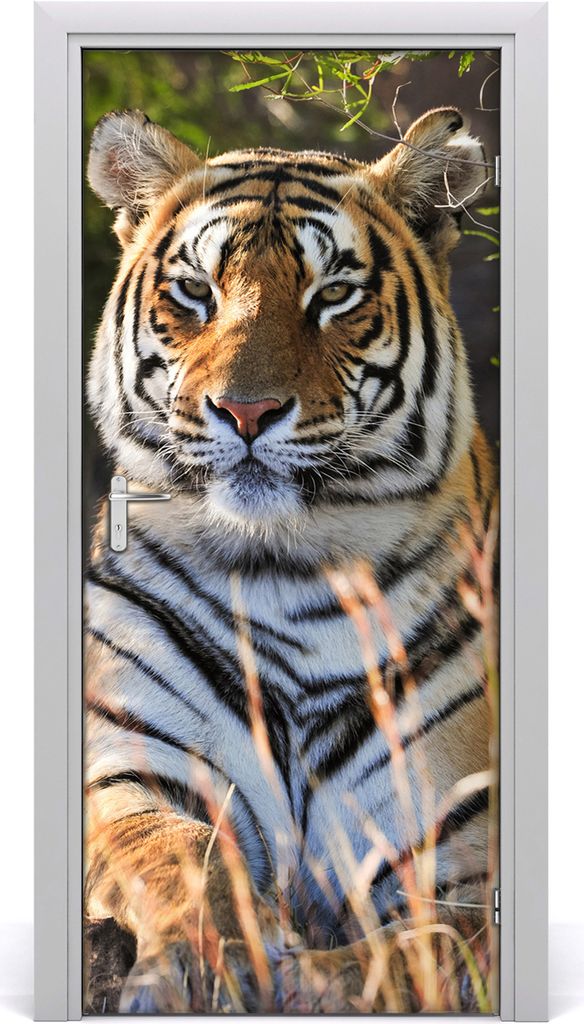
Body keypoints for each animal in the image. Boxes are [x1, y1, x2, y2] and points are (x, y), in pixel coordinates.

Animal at [83, 106, 498, 1015]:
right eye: (195, 292)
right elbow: (177, 852)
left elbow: (413, 957)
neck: (285, 570)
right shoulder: (132, 765)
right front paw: (204, 962)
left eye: (333, 295)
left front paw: (313, 980)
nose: (246, 411)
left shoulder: (456, 851)